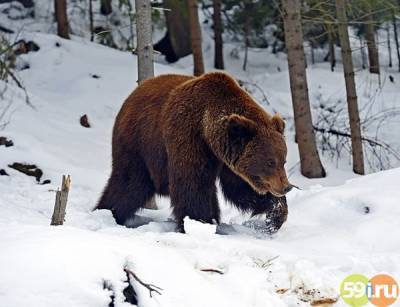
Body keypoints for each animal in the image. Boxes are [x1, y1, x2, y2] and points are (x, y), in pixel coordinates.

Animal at [95, 71, 292, 232]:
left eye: (283, 160)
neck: (207, 129)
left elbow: (240, 188)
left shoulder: (226, 157)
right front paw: (200, 223)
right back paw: (108, 212)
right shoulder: (188, 136)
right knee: (129, 184)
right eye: (270, 162)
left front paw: (275, 215)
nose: (286, 187)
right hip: (138, 144)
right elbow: (192, 184)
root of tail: (131, 95)